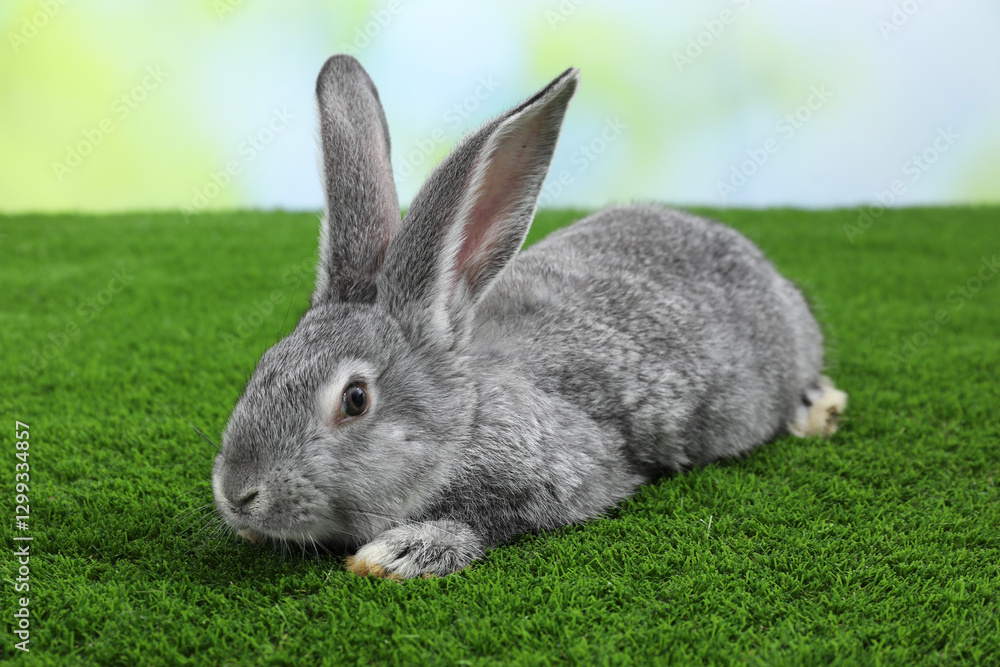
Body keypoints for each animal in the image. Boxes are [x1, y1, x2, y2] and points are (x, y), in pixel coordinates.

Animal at [211, 55, 847, 579]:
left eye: (356, 399)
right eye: (265, 363)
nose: (238, 494)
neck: (465, 419)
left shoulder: (570, 472)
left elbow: (493, 521)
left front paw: (400, 554)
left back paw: (818, 413)